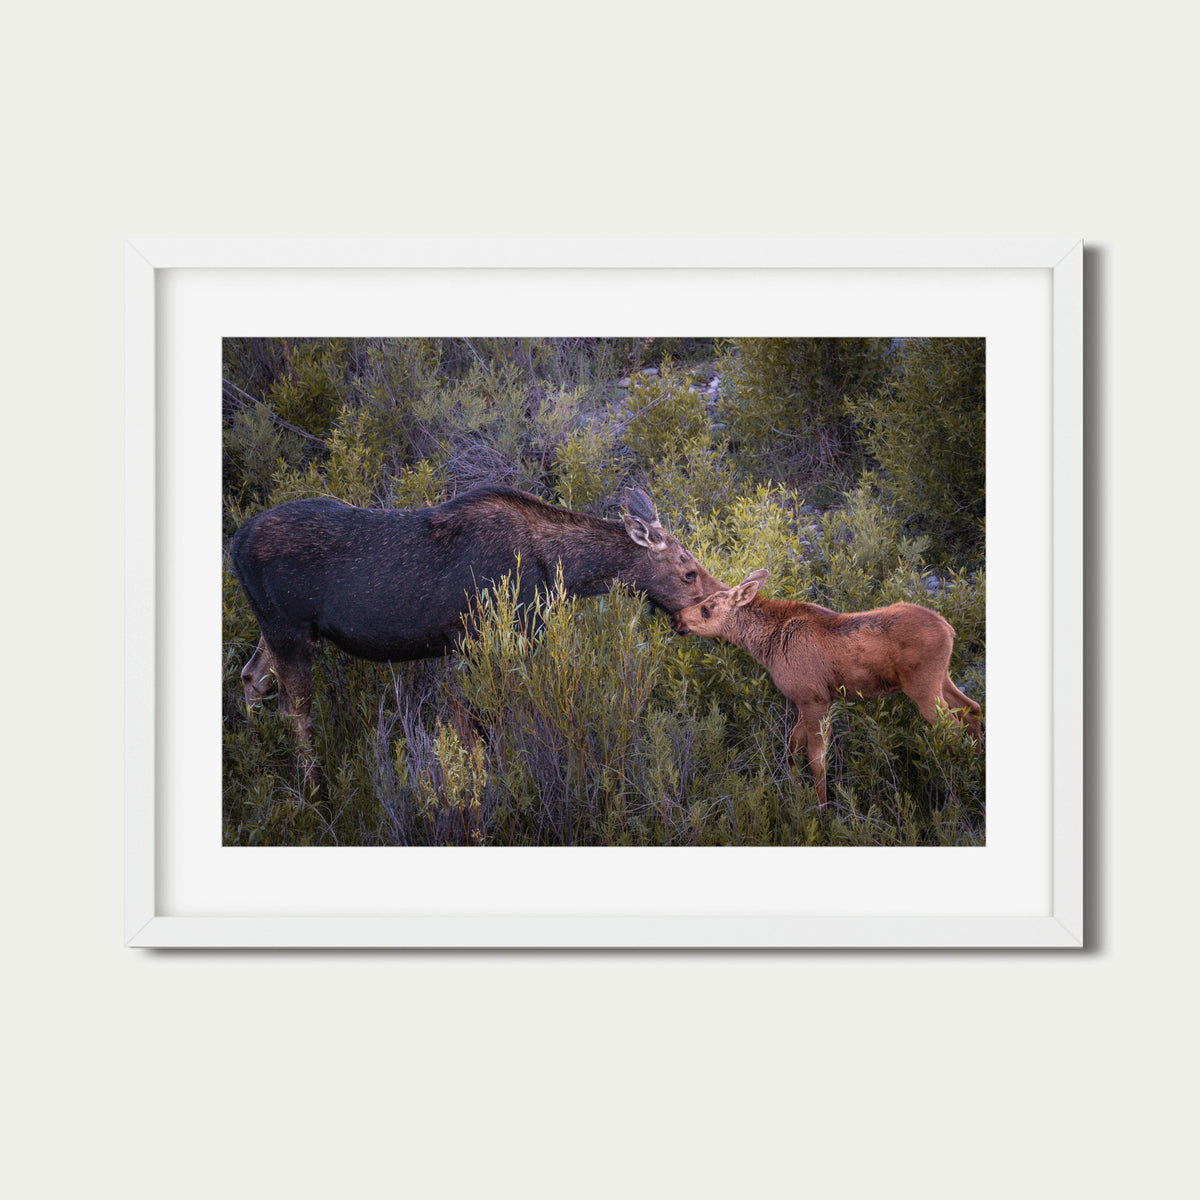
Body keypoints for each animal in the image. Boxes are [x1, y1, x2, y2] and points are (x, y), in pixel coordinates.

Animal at [670, 569, 982, 813]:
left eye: (706, 609)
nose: (676, 619)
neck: (766, 645)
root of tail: (949, 629)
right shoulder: (801, 699)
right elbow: (792, 746)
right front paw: (791, 788)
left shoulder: (815, 698)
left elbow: (816, 758)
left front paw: (823, 810)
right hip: (941, 678)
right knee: (972, 709)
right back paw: (974, 774)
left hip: (923, 686)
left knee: (953, 730)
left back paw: (956, 791)